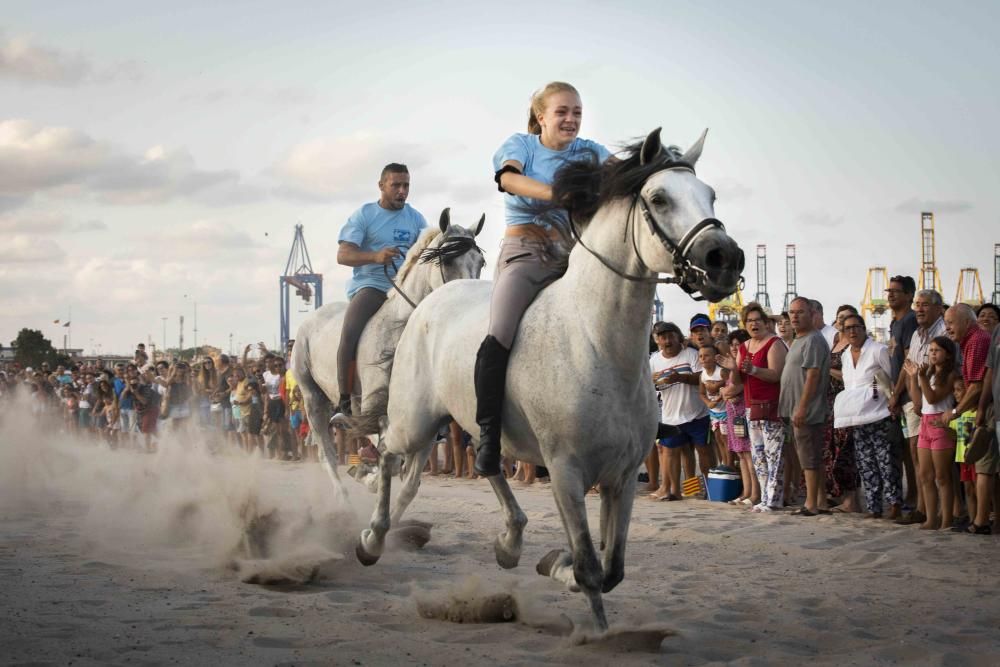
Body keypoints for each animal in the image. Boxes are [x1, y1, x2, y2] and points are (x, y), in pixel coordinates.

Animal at [356, 129, 748, 632]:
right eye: (659, 198)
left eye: (710, 194)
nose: (725, 260)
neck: (596, 340)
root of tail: (429, 301)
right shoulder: (565, 471)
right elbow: (588, 566)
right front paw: (596, 631)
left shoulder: (622, 477)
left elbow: (611, 568)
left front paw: (553, 566)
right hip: (416, 420)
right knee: (388, 455)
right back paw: (371, 539)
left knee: (486, 464)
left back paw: (509, 543)